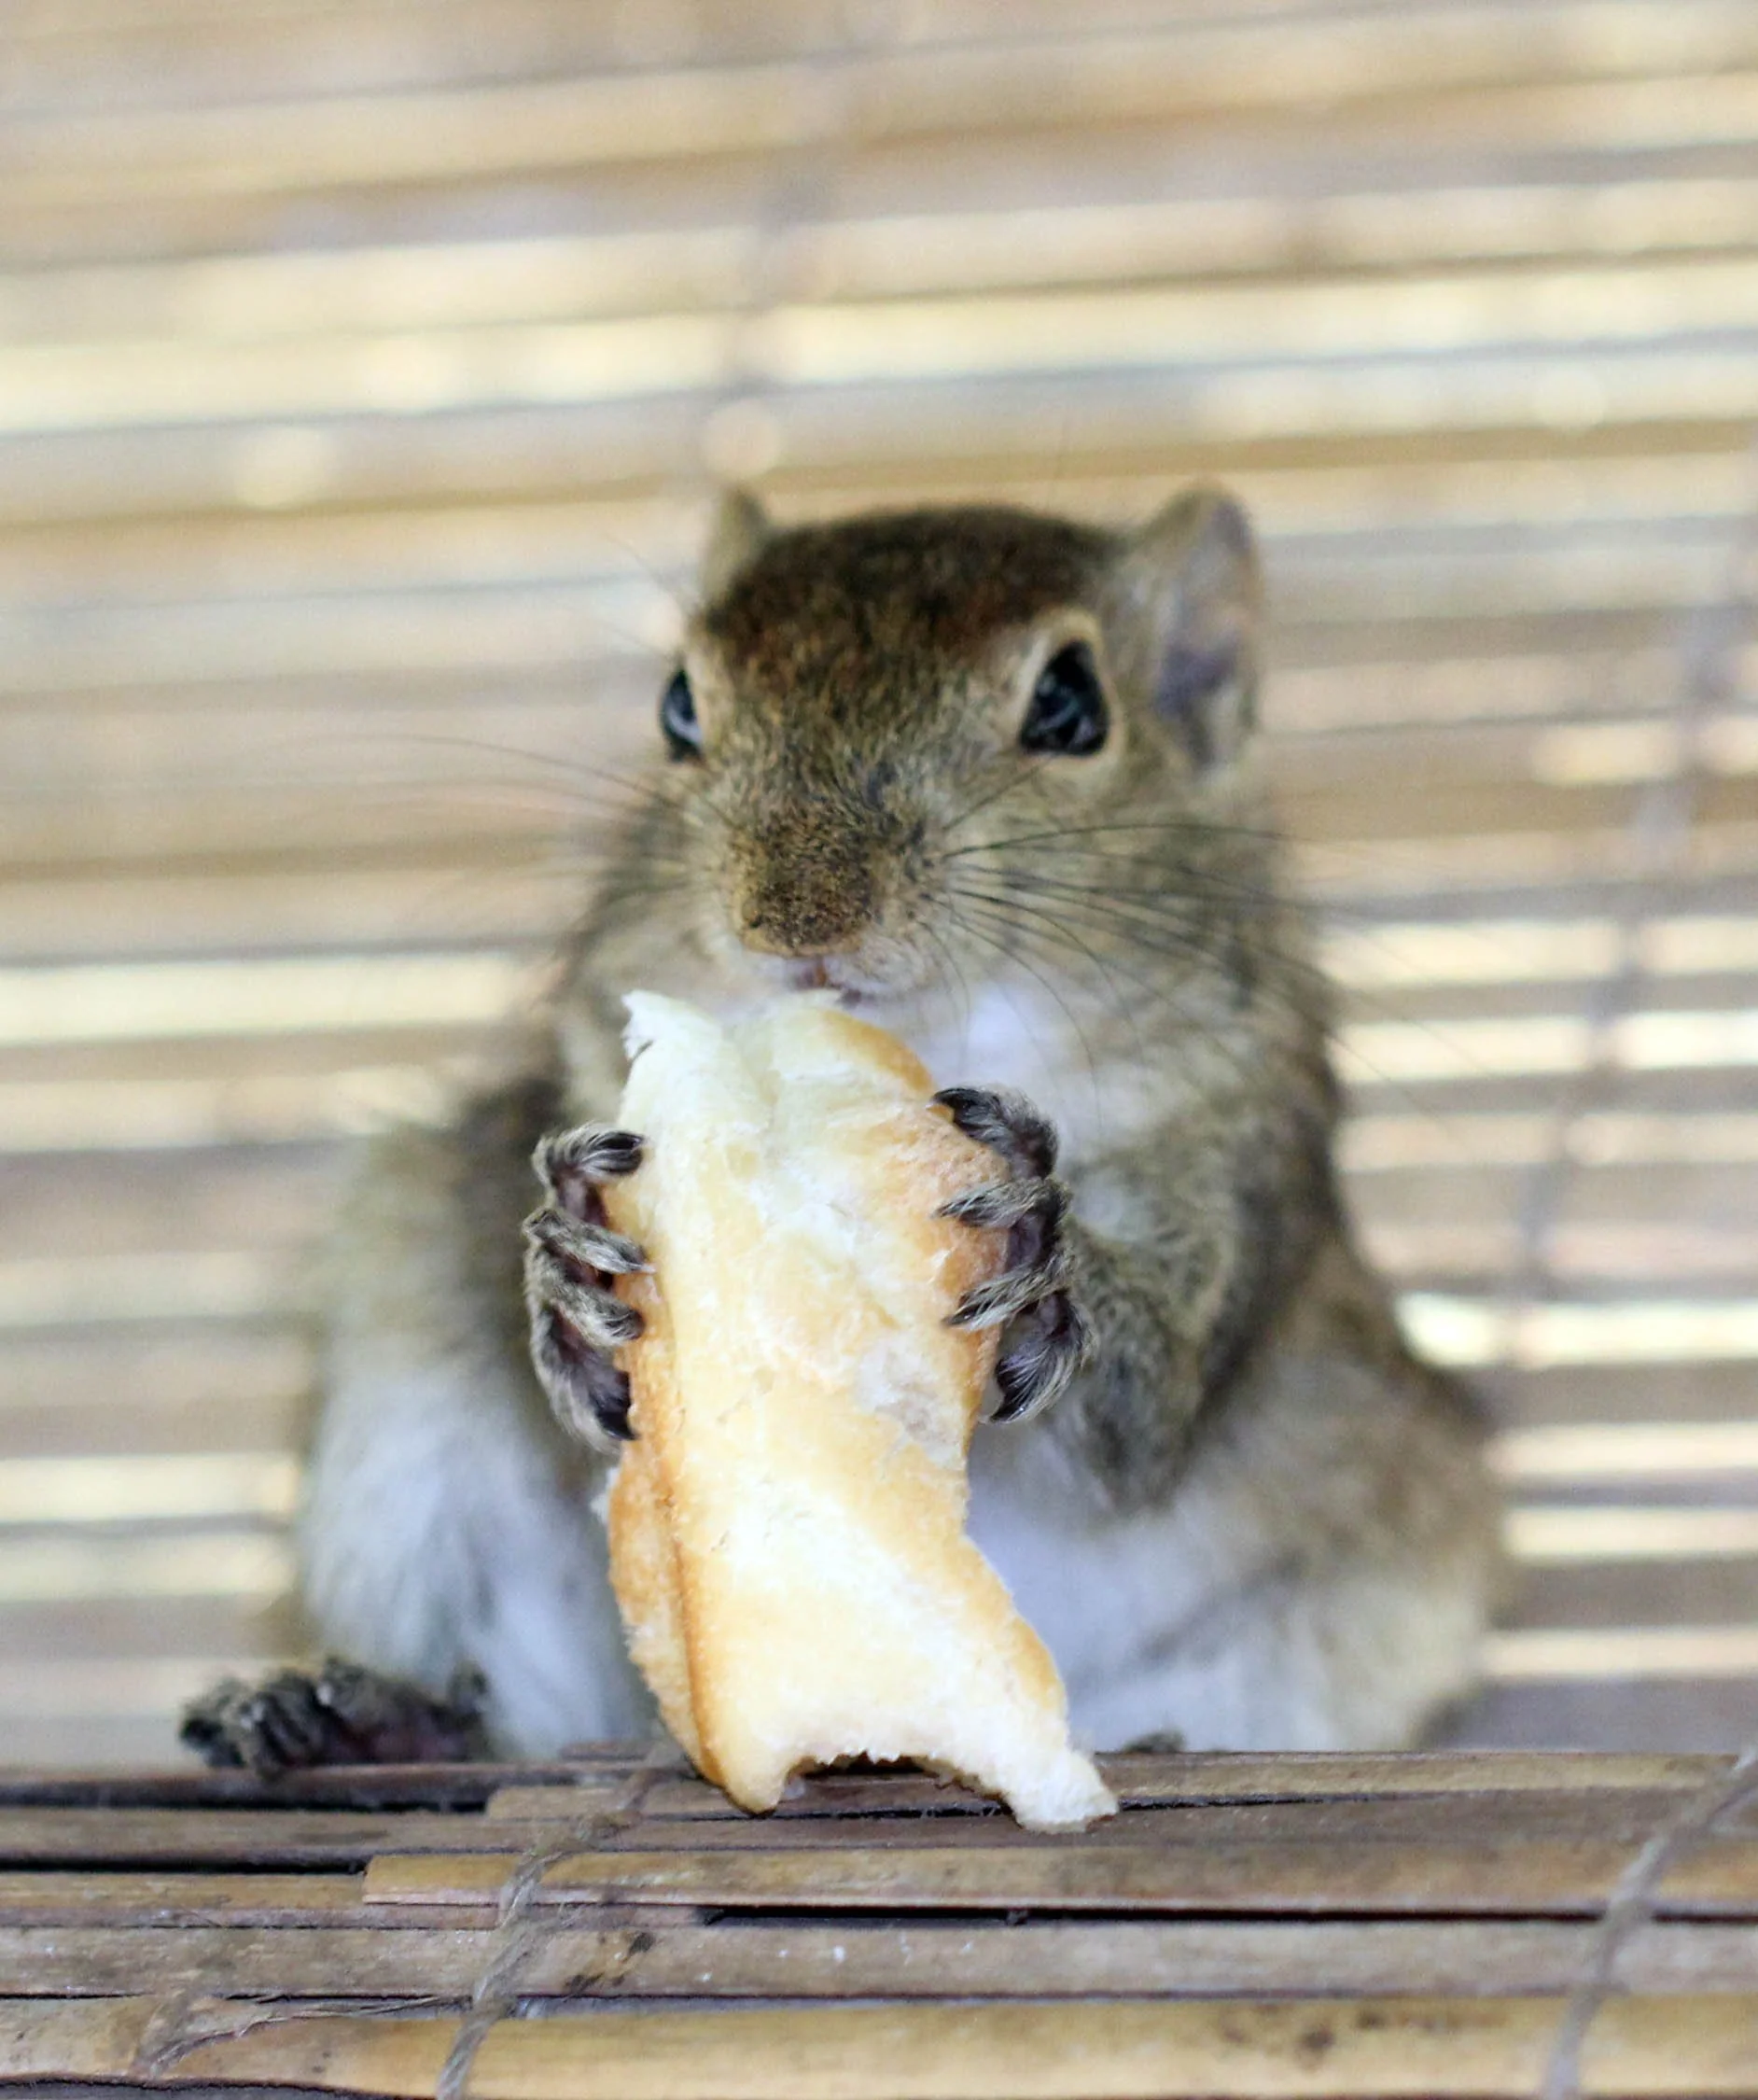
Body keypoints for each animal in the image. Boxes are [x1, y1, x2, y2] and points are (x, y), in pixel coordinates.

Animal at [183, 484, 1502, 1775]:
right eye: (677, 704)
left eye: (1072, 704)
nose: (799, 918)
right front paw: (571, 1268)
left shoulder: (1245, 1164)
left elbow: (1141, 1418)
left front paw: (1041, 1254)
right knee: (511, 1712)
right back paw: (360, 1715)